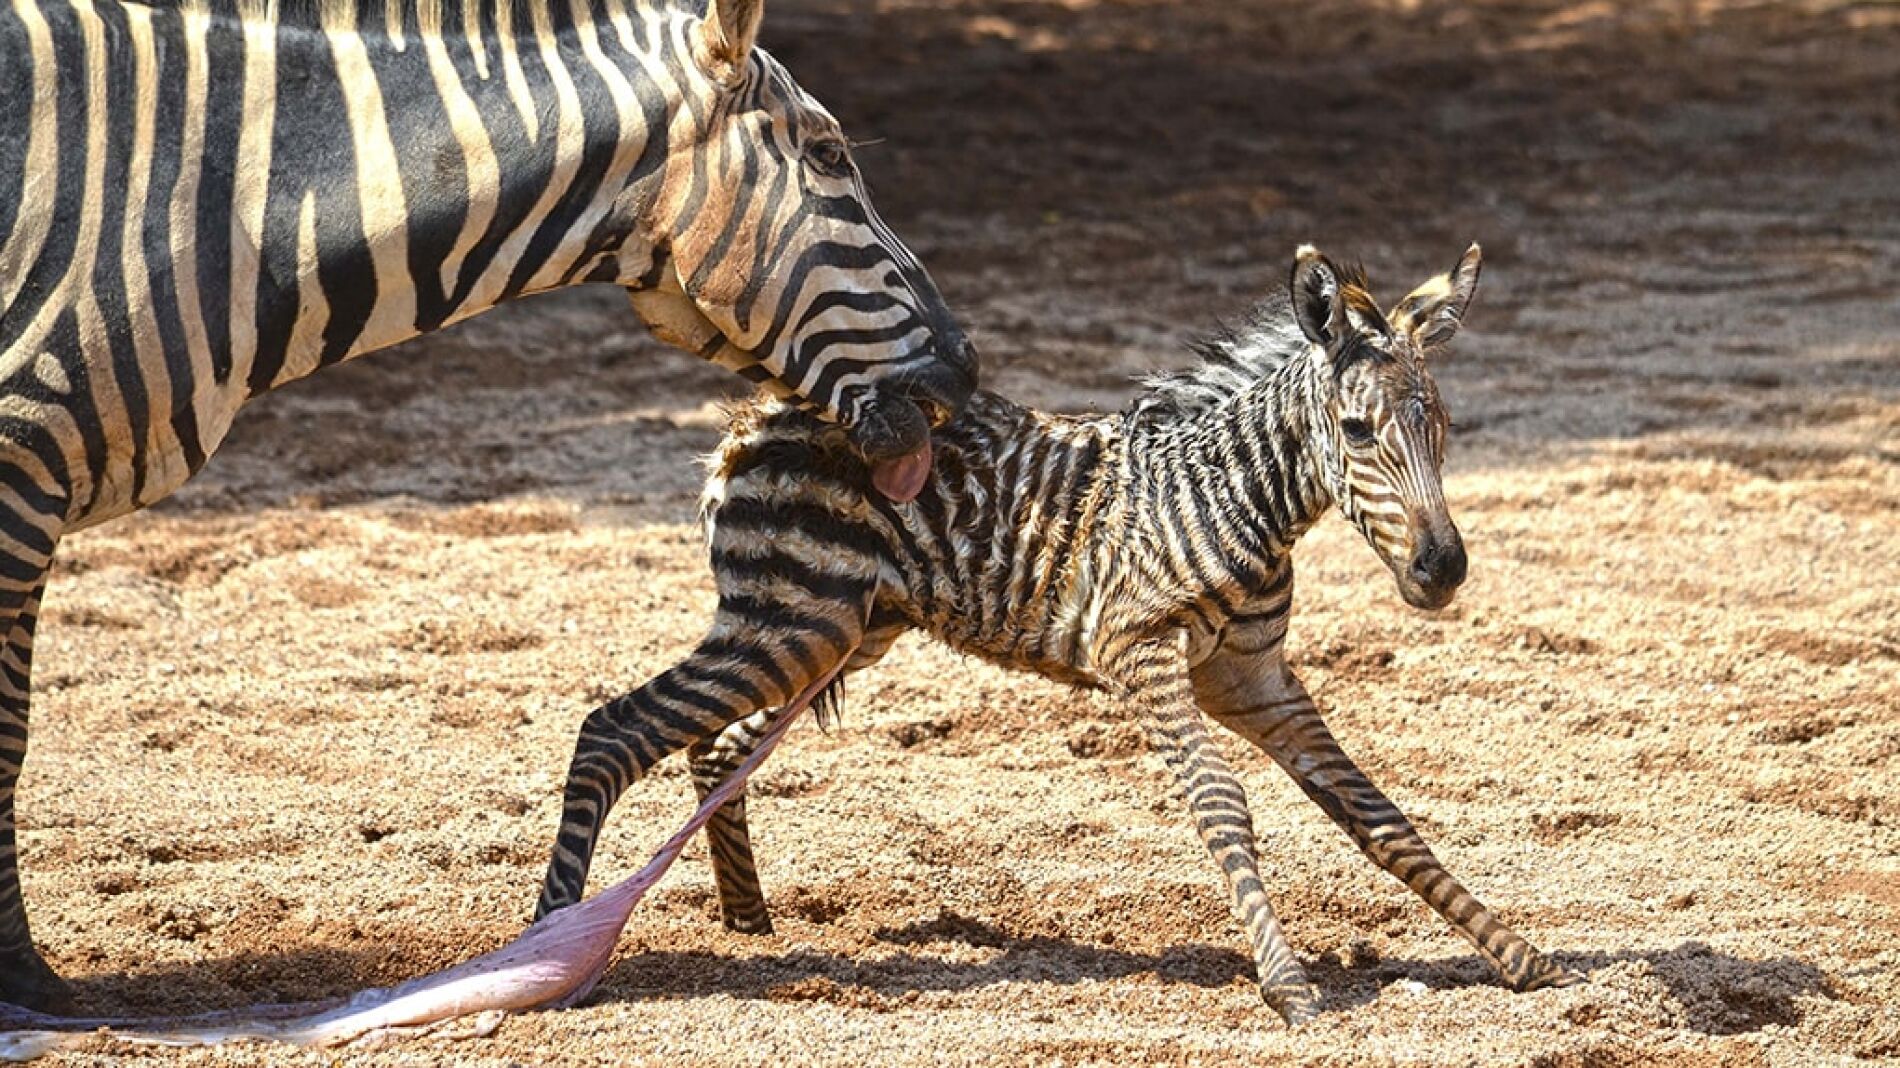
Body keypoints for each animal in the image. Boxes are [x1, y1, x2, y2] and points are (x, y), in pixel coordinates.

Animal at [0, 0, 976, 1009]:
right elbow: (9, 735)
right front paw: (27, 976)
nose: (966, 372)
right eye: (827, 156)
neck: (214, 207)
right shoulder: (23, 470)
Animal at [538, 243, 1585, 1024]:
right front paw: (1287, 985)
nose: (1442, 570)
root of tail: (756, 417)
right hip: (790, 622)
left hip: (834, 631)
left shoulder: (1252, 676)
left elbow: (1378, 816)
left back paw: (749, 920)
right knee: (614, 730)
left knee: (714, 751)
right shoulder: (1144, 656)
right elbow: (1223, 806)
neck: (1241, 501)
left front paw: (1521, 956)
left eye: (1443, 427)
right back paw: (550, 950)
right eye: (1360, 433)